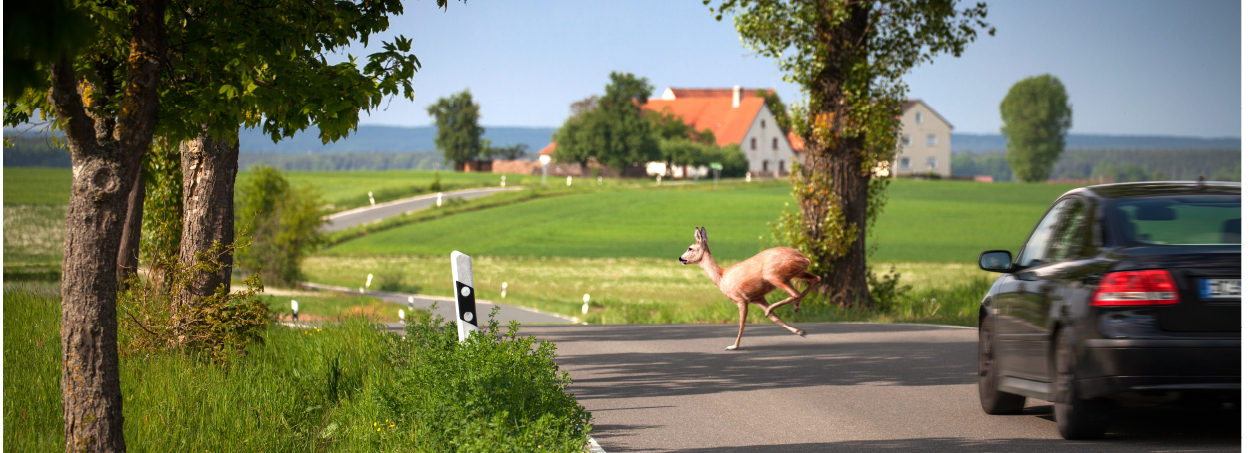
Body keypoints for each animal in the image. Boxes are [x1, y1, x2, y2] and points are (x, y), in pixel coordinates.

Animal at [679, 227, 824, 351]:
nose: (680, 258)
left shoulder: (741, 299)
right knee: (815, 279)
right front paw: (800, 331)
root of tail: (805, 258)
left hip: (774, 275)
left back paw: (783, 308)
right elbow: (775, 319)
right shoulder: (758, 298)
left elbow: (742, 323)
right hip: (795, 274)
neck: (721, 277)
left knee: (796, 292)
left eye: (690, 248)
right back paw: (794, 308)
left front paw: (733, 346)